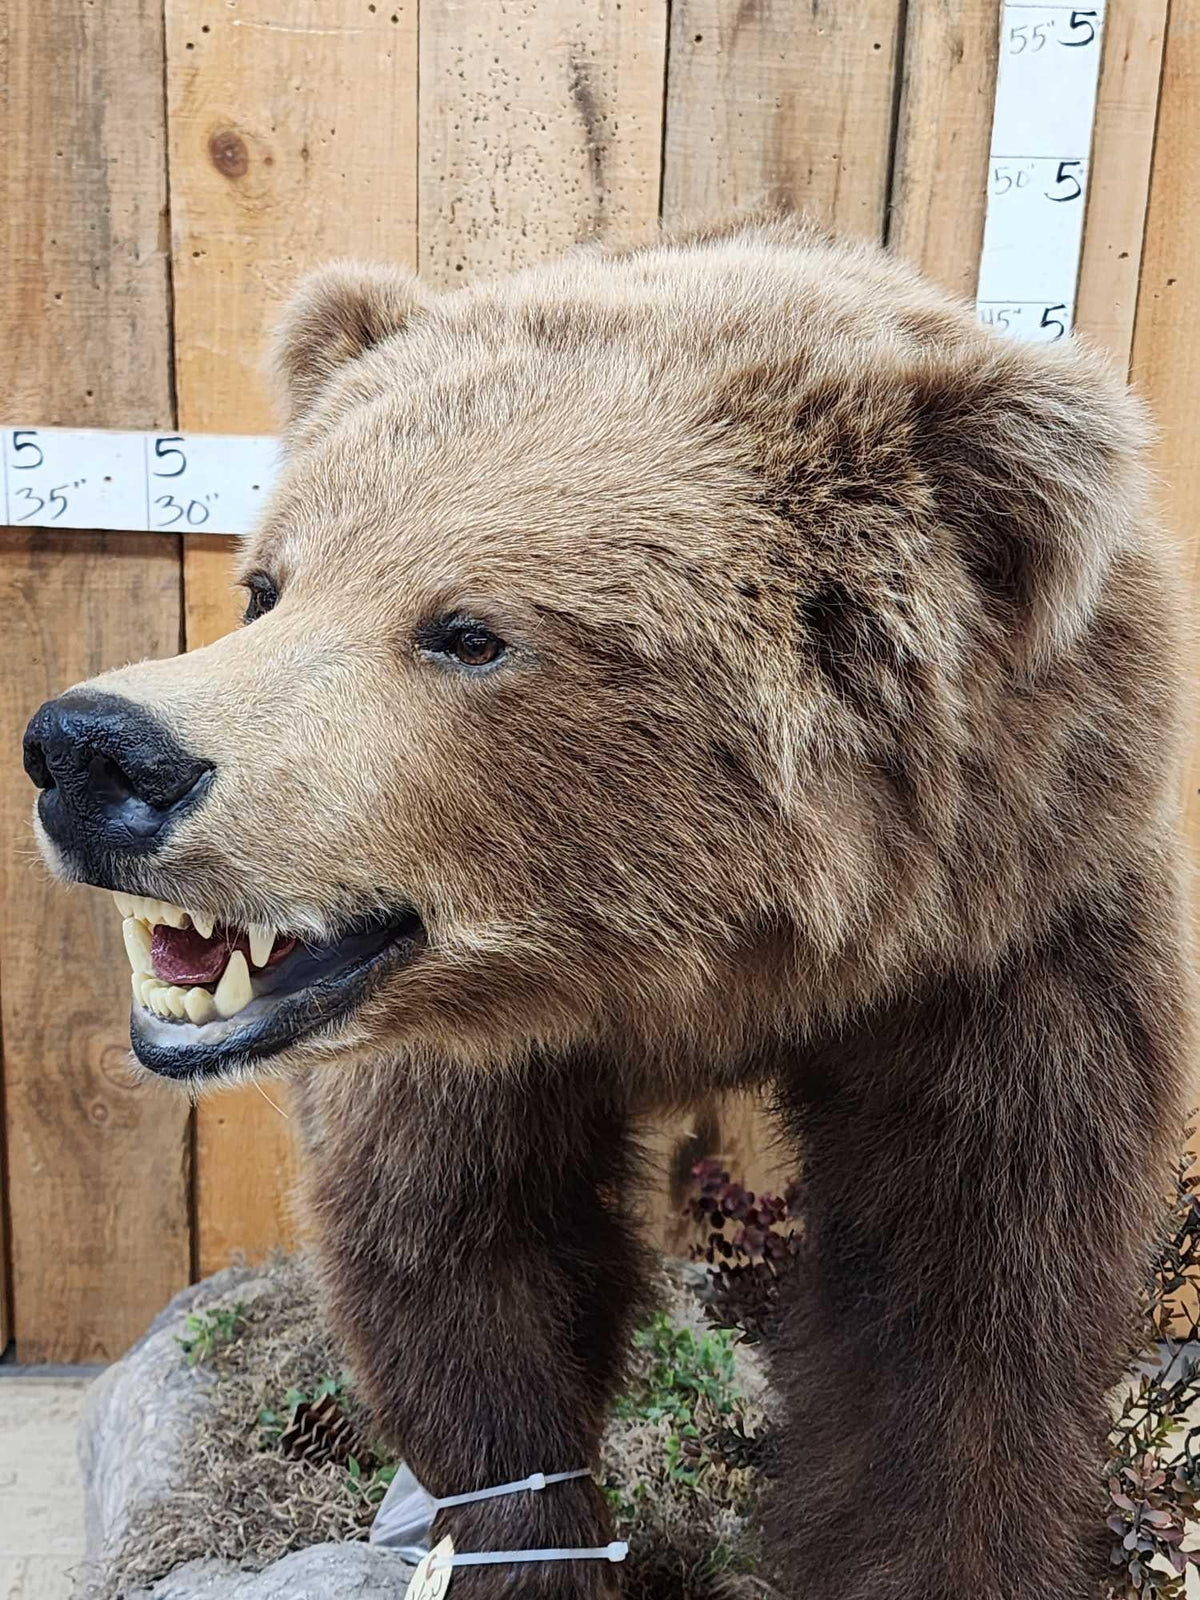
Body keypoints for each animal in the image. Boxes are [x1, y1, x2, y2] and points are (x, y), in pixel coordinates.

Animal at [22, 212, 1194, 1600]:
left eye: (467, 630)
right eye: (268, 585)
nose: (96, 751)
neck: (696, 954)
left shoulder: (1007, 943)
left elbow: (961, 1303)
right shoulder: (460, 1050)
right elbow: (469, 1275)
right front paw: (530, 1540)